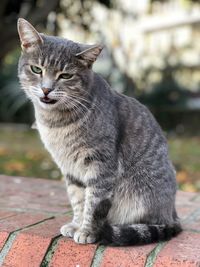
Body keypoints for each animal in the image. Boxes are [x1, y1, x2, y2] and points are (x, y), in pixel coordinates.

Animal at [18, 17, 182, 246]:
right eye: (36, 69)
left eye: (65, 75)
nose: (46, 89)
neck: (55, 123)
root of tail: (173, 214)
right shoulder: (70, 169)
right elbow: (78, 199)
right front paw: (76, 225)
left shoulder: (101, 164)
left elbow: (94, 203)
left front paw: (87, 231)